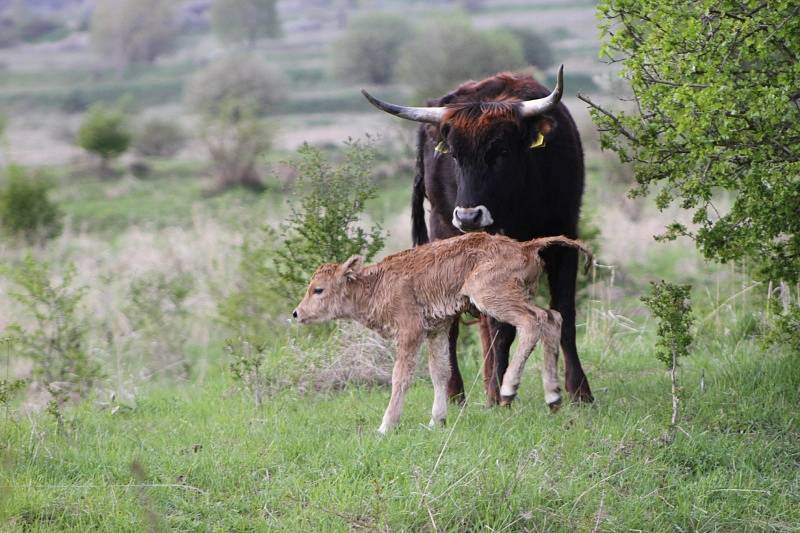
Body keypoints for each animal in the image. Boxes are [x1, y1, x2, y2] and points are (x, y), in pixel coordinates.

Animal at [290, 233, 592, 432]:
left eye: (318, 289)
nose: (297, 313)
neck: (376, 285)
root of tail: (526, 246)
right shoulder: (436, 330)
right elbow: (440, 373)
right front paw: (437, 420)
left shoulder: (410, 333)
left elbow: (401, 377)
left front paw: (386, 426)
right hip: (518, 296)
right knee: (552, 318)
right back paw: (553, 397)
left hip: (492, 296)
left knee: (533, 321)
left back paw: (509, 388)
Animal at [362, 65, 592, 404]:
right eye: (455, 156)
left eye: (501, 151)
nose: (469, 216)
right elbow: (501, 326)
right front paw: (503, 393)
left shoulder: (564, 239)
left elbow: (564, 313)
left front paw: (579, 390)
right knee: (452, 324)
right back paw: (456, 392)